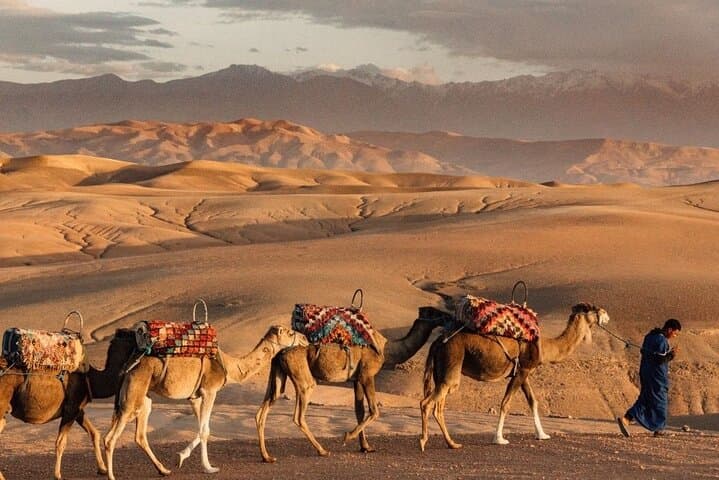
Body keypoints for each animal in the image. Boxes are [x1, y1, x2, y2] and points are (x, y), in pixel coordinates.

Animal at [0, 328, 137, 480]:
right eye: (134, 336)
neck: (91, 378)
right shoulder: (71, 408)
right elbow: (61, 442)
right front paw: (57, 475)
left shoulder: (78, 409)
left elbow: (94, 433)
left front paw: (102, 469)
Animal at [104, 324, 308, 480]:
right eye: (290, 332)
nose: (305, 338)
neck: (229, 366)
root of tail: (128, 365)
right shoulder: (210, 390)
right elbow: (204, 431)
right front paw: (209, 468)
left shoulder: (196, 396)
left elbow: (204, 428)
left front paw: (180, 457)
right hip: (133, 393)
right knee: (111, 438)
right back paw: (112, 475)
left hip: (143, 398)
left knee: (138, 435)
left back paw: (163, 470)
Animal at [255, 307, 446, 463]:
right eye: (433, 312)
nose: (447, 317)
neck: (386, 349)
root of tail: (280, 353)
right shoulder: (367, 374)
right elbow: (374, 411)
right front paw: (347, 437)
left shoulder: (356, 379)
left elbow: (359, 411)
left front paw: (365, 447)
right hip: (303, 379)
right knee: (299, 415)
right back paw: (322, 450)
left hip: (278, 374)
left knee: (265, 408)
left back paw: (267, 457)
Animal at [419, 302, 609, 451]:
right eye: (593, 308)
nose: (606, 315)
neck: (545, 346)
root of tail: (437, 342)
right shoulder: (523, 370)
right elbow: (506, 403)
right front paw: (499, 439)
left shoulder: (523, 372)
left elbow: (533, 401)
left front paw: (542, 435)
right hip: (452, 361)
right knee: (427, 403)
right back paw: (423, 442)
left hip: (442, 370)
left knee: (438, 406)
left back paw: (452, 444)